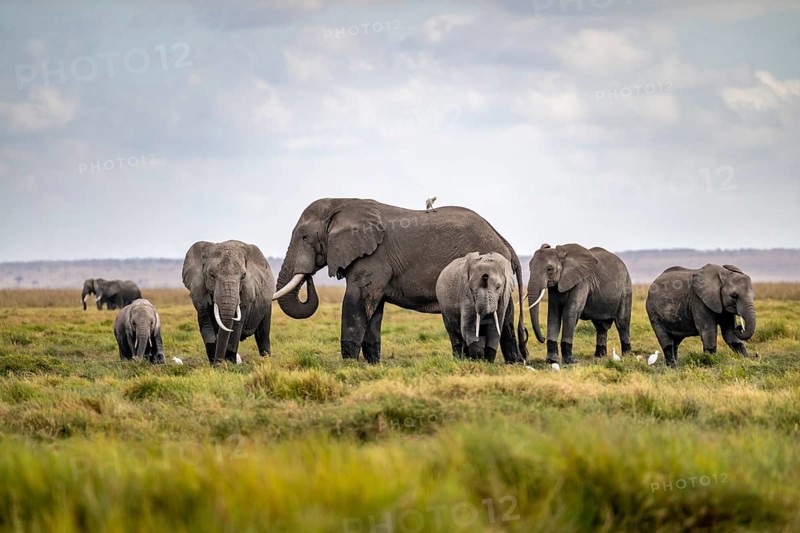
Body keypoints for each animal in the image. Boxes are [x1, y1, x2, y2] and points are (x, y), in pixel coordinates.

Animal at [274, 198, 528, 364]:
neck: (341, 203)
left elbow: (356, 302)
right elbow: (373, 309)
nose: (309, 277)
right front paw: (372, 365)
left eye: (304, 237)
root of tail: (505, 242)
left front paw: (348, 365)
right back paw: (514, 363)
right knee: (507, 318)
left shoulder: (373, 259)